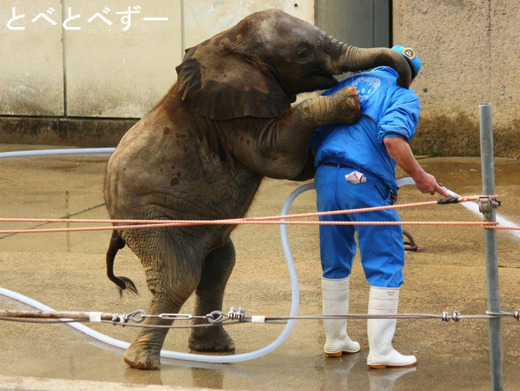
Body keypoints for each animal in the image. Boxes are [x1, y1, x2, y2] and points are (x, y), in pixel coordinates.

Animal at [104, 9, 410, 370]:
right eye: (302, 52)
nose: (402, 76)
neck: (230, 40)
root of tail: (113, 222)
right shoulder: (234, 118)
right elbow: (277, 155)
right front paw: (348, 101)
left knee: (218, 268)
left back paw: (214, 349)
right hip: (149, 219)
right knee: (180, 277)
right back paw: (143, 362)